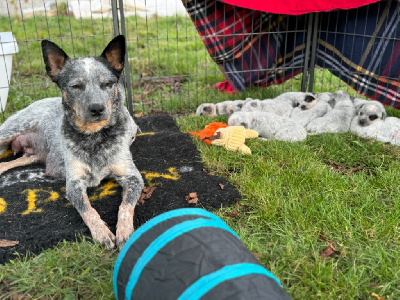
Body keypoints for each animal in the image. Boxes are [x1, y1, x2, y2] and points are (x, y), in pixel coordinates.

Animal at [0, 35, 144, 250]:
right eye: (76, 86)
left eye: (107, 84)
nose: (97, 108)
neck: (94, 136)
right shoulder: (74, 183)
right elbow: (88, 210)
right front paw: (102, 232)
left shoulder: (132, 176)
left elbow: (125, 206)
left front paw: (124, 232)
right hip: (10, 131)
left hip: (31, 155)